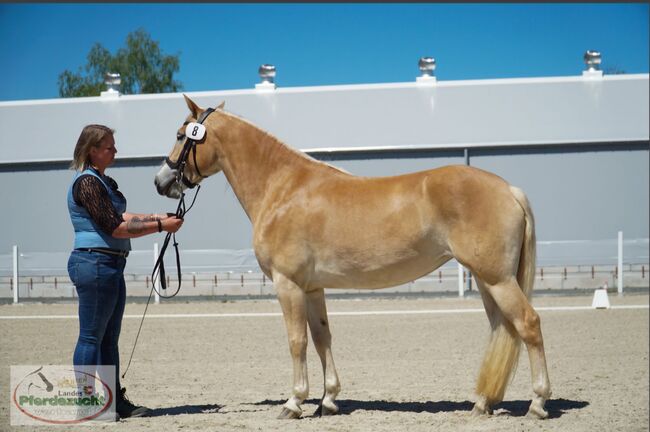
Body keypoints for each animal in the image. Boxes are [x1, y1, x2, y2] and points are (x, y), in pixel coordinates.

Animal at [154, 95, 552, 419]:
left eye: (181, 134)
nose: (160, 182)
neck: (283, 189)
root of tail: (509, 189)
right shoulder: (312, 288)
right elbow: (321, 338)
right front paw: (328, 400)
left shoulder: (288, 284)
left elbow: (296, 341)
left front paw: (294, 403)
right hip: (487, 280)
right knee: (502, 329)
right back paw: (483, 404)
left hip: (497, 279)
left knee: (529, 324)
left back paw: (537, 403)